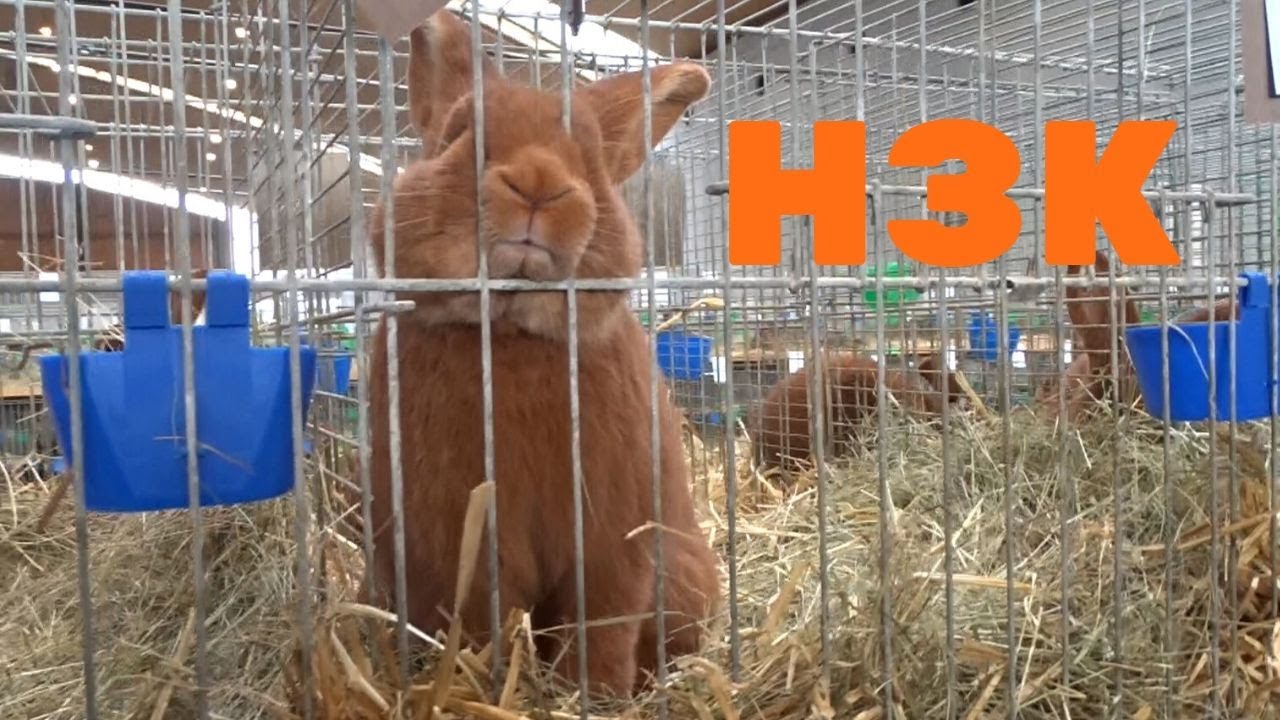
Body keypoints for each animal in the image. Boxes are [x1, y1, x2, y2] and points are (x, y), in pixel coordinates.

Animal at [361, 9, 719, 699]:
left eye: (592, 159)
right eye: (459, 133)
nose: (538, 184)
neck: (511, 334)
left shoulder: (612, 544)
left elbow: (601, 628)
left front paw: (598, 698)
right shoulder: (464, 544)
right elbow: (481, 626)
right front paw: (483, 690)